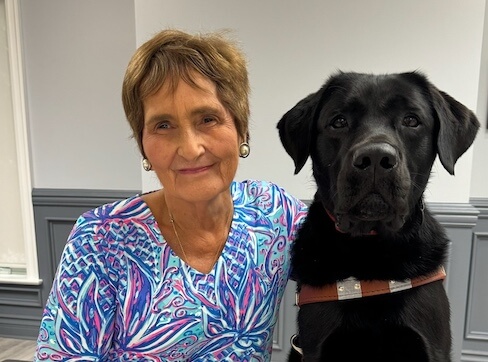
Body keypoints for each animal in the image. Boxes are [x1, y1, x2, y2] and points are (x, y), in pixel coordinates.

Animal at [278, 71, 480, 362]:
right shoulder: (317, 344)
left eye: (411, 120)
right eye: (338, 121)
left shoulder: (431, 344)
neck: (370, 248)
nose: (375, 157)